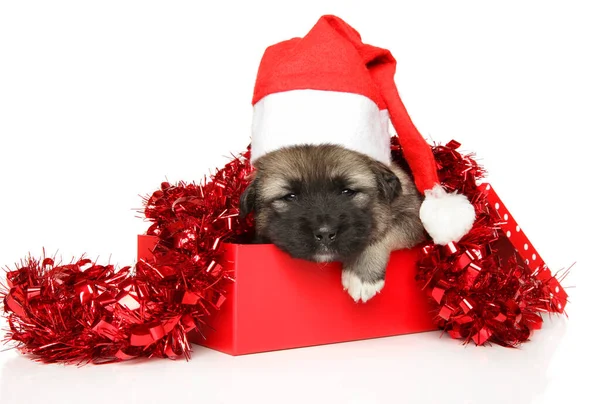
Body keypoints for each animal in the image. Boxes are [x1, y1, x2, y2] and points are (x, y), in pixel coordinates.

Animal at [239, 145, 426, 304]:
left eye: (347, 191)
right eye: (290, 196)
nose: (325, 234)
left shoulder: (413, 216)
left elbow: (384, 232)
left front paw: (361, 274)